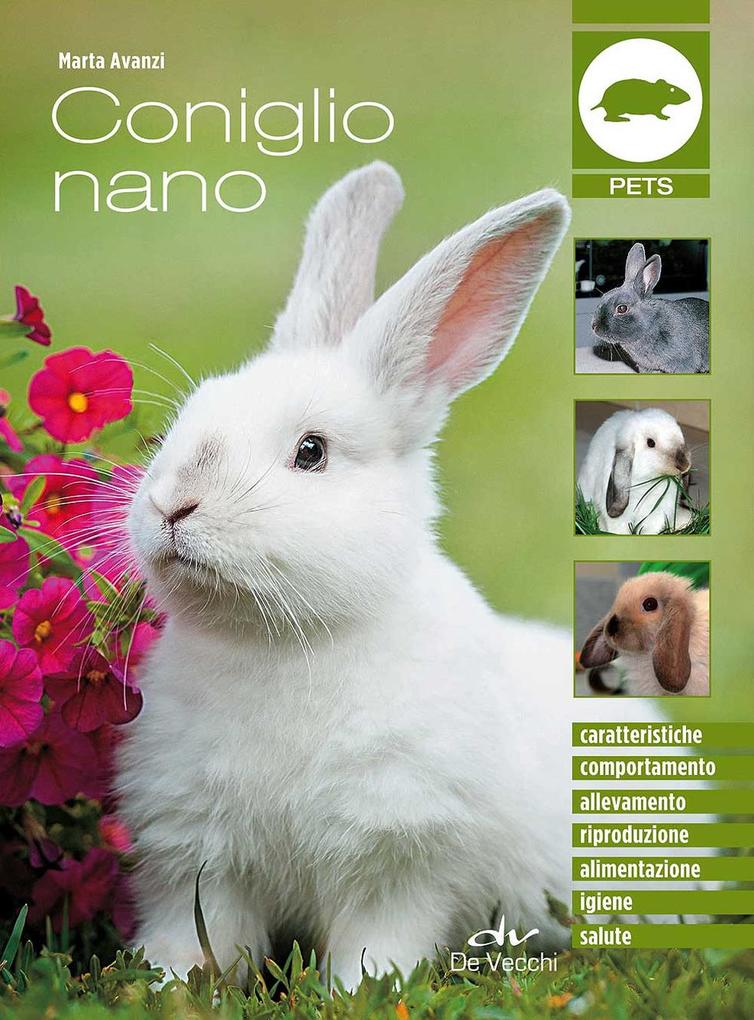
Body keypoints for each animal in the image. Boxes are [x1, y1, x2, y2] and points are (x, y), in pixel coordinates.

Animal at [116, 162, 666, 989]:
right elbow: (196, 937)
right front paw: (168, 984)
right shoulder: (196, 856)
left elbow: (378, 944)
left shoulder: (400, 856)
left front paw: (357, 992)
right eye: (187, 418)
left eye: (311, 452)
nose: (172, 505)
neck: (283, 643)